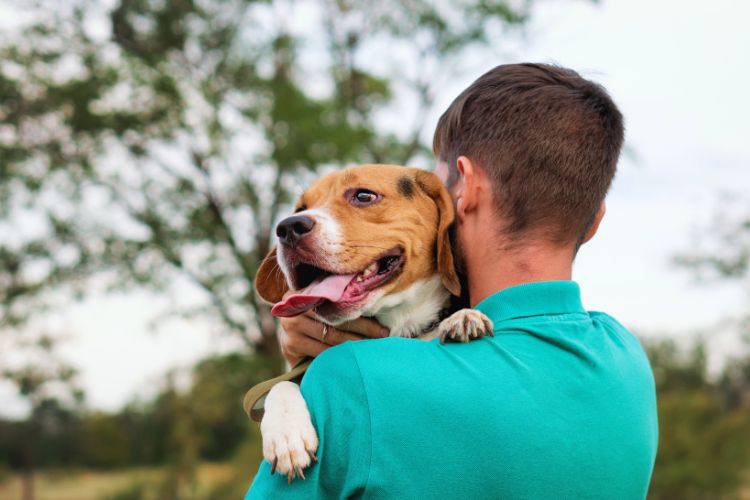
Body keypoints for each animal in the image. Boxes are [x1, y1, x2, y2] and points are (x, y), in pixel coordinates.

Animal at [256, 164, 496, 480]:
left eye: (363, 196)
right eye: (300, 209)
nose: (287, 228)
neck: (399, 325)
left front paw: (464, 317)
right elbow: (280, 385)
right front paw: (285, 433)